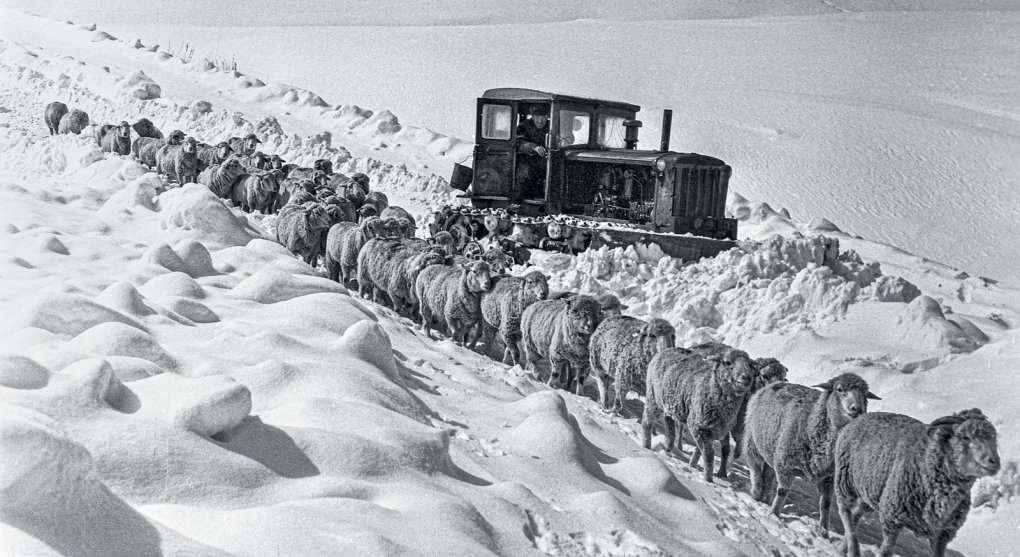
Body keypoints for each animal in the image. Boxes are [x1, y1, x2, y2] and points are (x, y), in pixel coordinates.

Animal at [644, 346, 758, 481]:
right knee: (647, 421)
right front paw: (708, 479)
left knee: (670, 427)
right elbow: (708, 455)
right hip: (653, 398)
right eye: (728, 362)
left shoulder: (718, 429)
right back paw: (646, 446)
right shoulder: (699, 426)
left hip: (669, 405)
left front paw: (717, 472)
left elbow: (722, 450)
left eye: (749, 364)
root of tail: (667, 349)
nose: (747, 378)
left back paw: (668, 448)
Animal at [742, 371, 877, 534]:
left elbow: (826, 504)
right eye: (839, 389)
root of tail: (776, 383)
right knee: (754, 465)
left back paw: (765, 496)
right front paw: (773, 515)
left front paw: (823, 531)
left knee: (768, 473)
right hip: (752, 440)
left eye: (865, 395)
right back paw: (756, 492)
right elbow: (782, 491)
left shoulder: (829, 478)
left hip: (772, 449)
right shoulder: (785, 465)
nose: (857, 409)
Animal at [836, 403, 995, 554]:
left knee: (856, 515)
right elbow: (886, 550)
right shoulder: (892, 518)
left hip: (870, 495)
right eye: (965, 437)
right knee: (844, 511)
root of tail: (862, 417)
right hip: (845, 482)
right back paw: (853, 548)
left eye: (994, 438)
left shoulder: (943, 534)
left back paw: (844, 549)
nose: (994, 461)